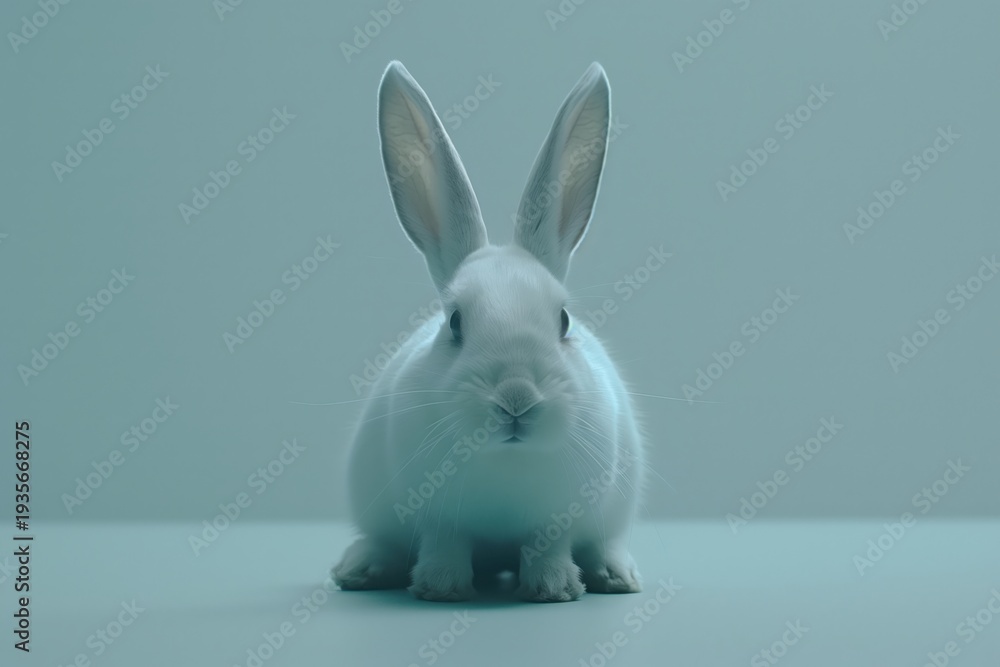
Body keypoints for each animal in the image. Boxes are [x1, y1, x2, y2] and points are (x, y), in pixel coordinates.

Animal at [332, 61, 644, 603]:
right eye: (455, 322)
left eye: (564, 320)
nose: (516, 398)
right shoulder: (439, 520)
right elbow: (444, 545)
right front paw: (441, 588)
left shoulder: (555, 521)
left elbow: (548, 547)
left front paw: (553, 589)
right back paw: (361, 568)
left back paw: (614, 575)